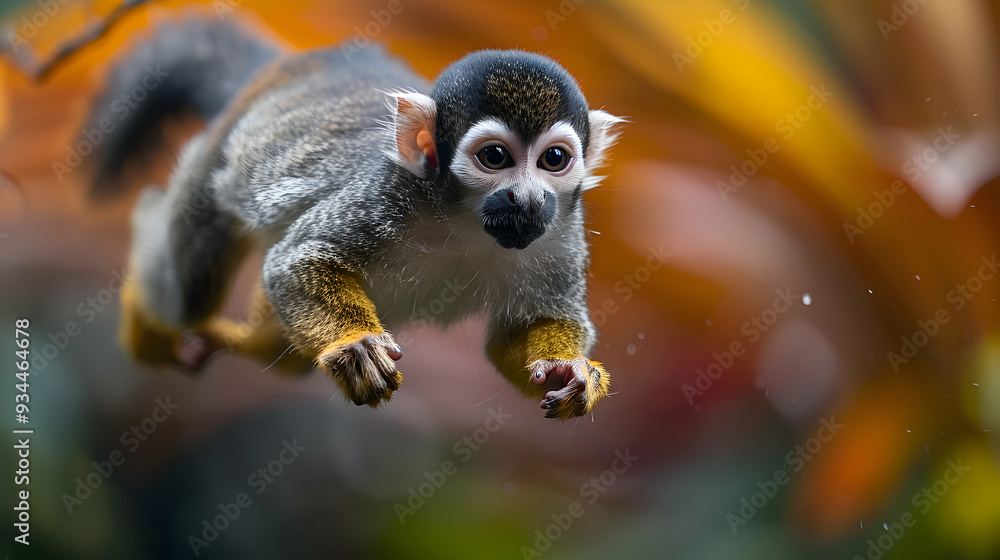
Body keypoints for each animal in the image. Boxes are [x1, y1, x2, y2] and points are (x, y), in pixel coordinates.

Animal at [85, 15, 623, 420]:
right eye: (495, 157)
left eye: (553, 159)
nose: (526, 199)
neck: (465, 227)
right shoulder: (386, 195)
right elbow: (299, 260)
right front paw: (355, 342)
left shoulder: (562, 230)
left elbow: (523, 330)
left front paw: (570, 370)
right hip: (218, 153)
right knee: (190, 291)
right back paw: (147, 284)